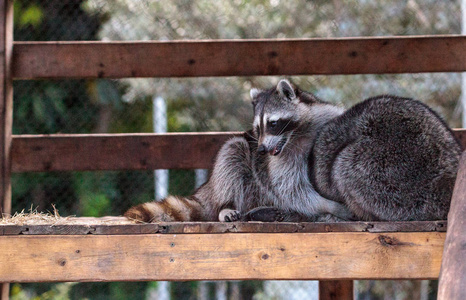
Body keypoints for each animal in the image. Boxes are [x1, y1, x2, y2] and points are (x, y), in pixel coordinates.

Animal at [124, 79, 354, 223]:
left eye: (272, 124)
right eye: (257, 129)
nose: (261, 148)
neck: (297, 134)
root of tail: (209, 188)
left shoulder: (324, 115)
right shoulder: (282, 159)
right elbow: (291, 188)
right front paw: (330, 206)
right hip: (234, 179)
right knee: (232, 152)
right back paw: (225, 206)